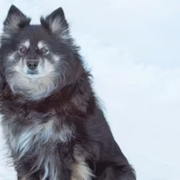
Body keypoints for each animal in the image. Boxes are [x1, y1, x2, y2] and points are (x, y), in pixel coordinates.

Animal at [0, 4, 136, 180]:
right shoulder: (22, 148)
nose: (32, 64)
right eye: (22, 50)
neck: (36, 99)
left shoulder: (63, 151)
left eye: (45, 50)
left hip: (110, 169)